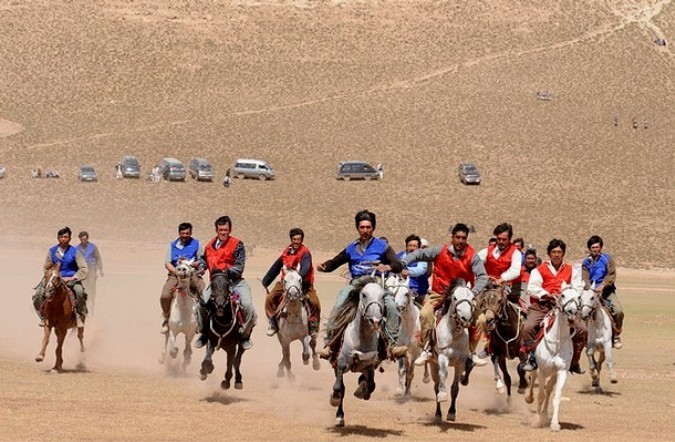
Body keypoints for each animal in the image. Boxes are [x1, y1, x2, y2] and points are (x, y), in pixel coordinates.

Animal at [330, 278, 388, 426]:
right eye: (364, 295)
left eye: (383, 296)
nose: (376, 320)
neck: (361, 338)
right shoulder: (341, 363)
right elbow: (339, 387)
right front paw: (334, 399)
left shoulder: (370, 365)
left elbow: (372, 385)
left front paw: (362, 392)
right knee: (341, 387)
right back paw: (339, 416)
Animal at [386, 272, 428, 400]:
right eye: (394, 293)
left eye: (406, 293)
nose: (398, 307)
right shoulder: (401, 349)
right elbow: (402, 370)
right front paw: (400, 390)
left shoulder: (414, 353)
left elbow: (410, 373)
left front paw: (407, 393)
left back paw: (426, 377)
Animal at [434, 280, 476, 422]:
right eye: (455, 298)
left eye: (472, 298)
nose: (466, 318)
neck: (454, 333)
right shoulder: (442, 357)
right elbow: (443, 377)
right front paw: (442, 395)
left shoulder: (460, 361)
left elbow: (455, 388)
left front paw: (452, 412)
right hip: (432, 364)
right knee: (435, 386)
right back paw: (438, 413)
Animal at [524, 286, 584, 432]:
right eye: (562, 295)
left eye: (579, 296)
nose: (571, 313)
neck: (557, 342)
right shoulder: (542, 371)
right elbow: (540, 395)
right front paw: (537, 420)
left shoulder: (562, 372)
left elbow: (556, 397)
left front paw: (555, 424)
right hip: (536, 370)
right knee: (533, 381)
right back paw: (530, 399)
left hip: (554, 374)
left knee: (549, 389)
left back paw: (545, 414)